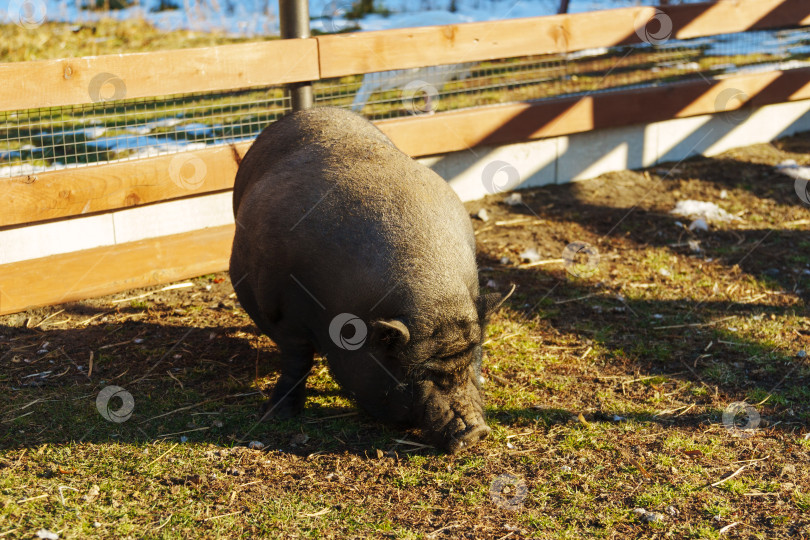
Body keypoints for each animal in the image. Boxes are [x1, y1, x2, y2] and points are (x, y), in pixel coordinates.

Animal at [229, 107, 510, 453]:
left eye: (473, 357)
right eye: (417, 372)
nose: (476, 432)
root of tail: (311, 110)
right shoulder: (278, 312)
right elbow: (297, 361)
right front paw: (276, 415)